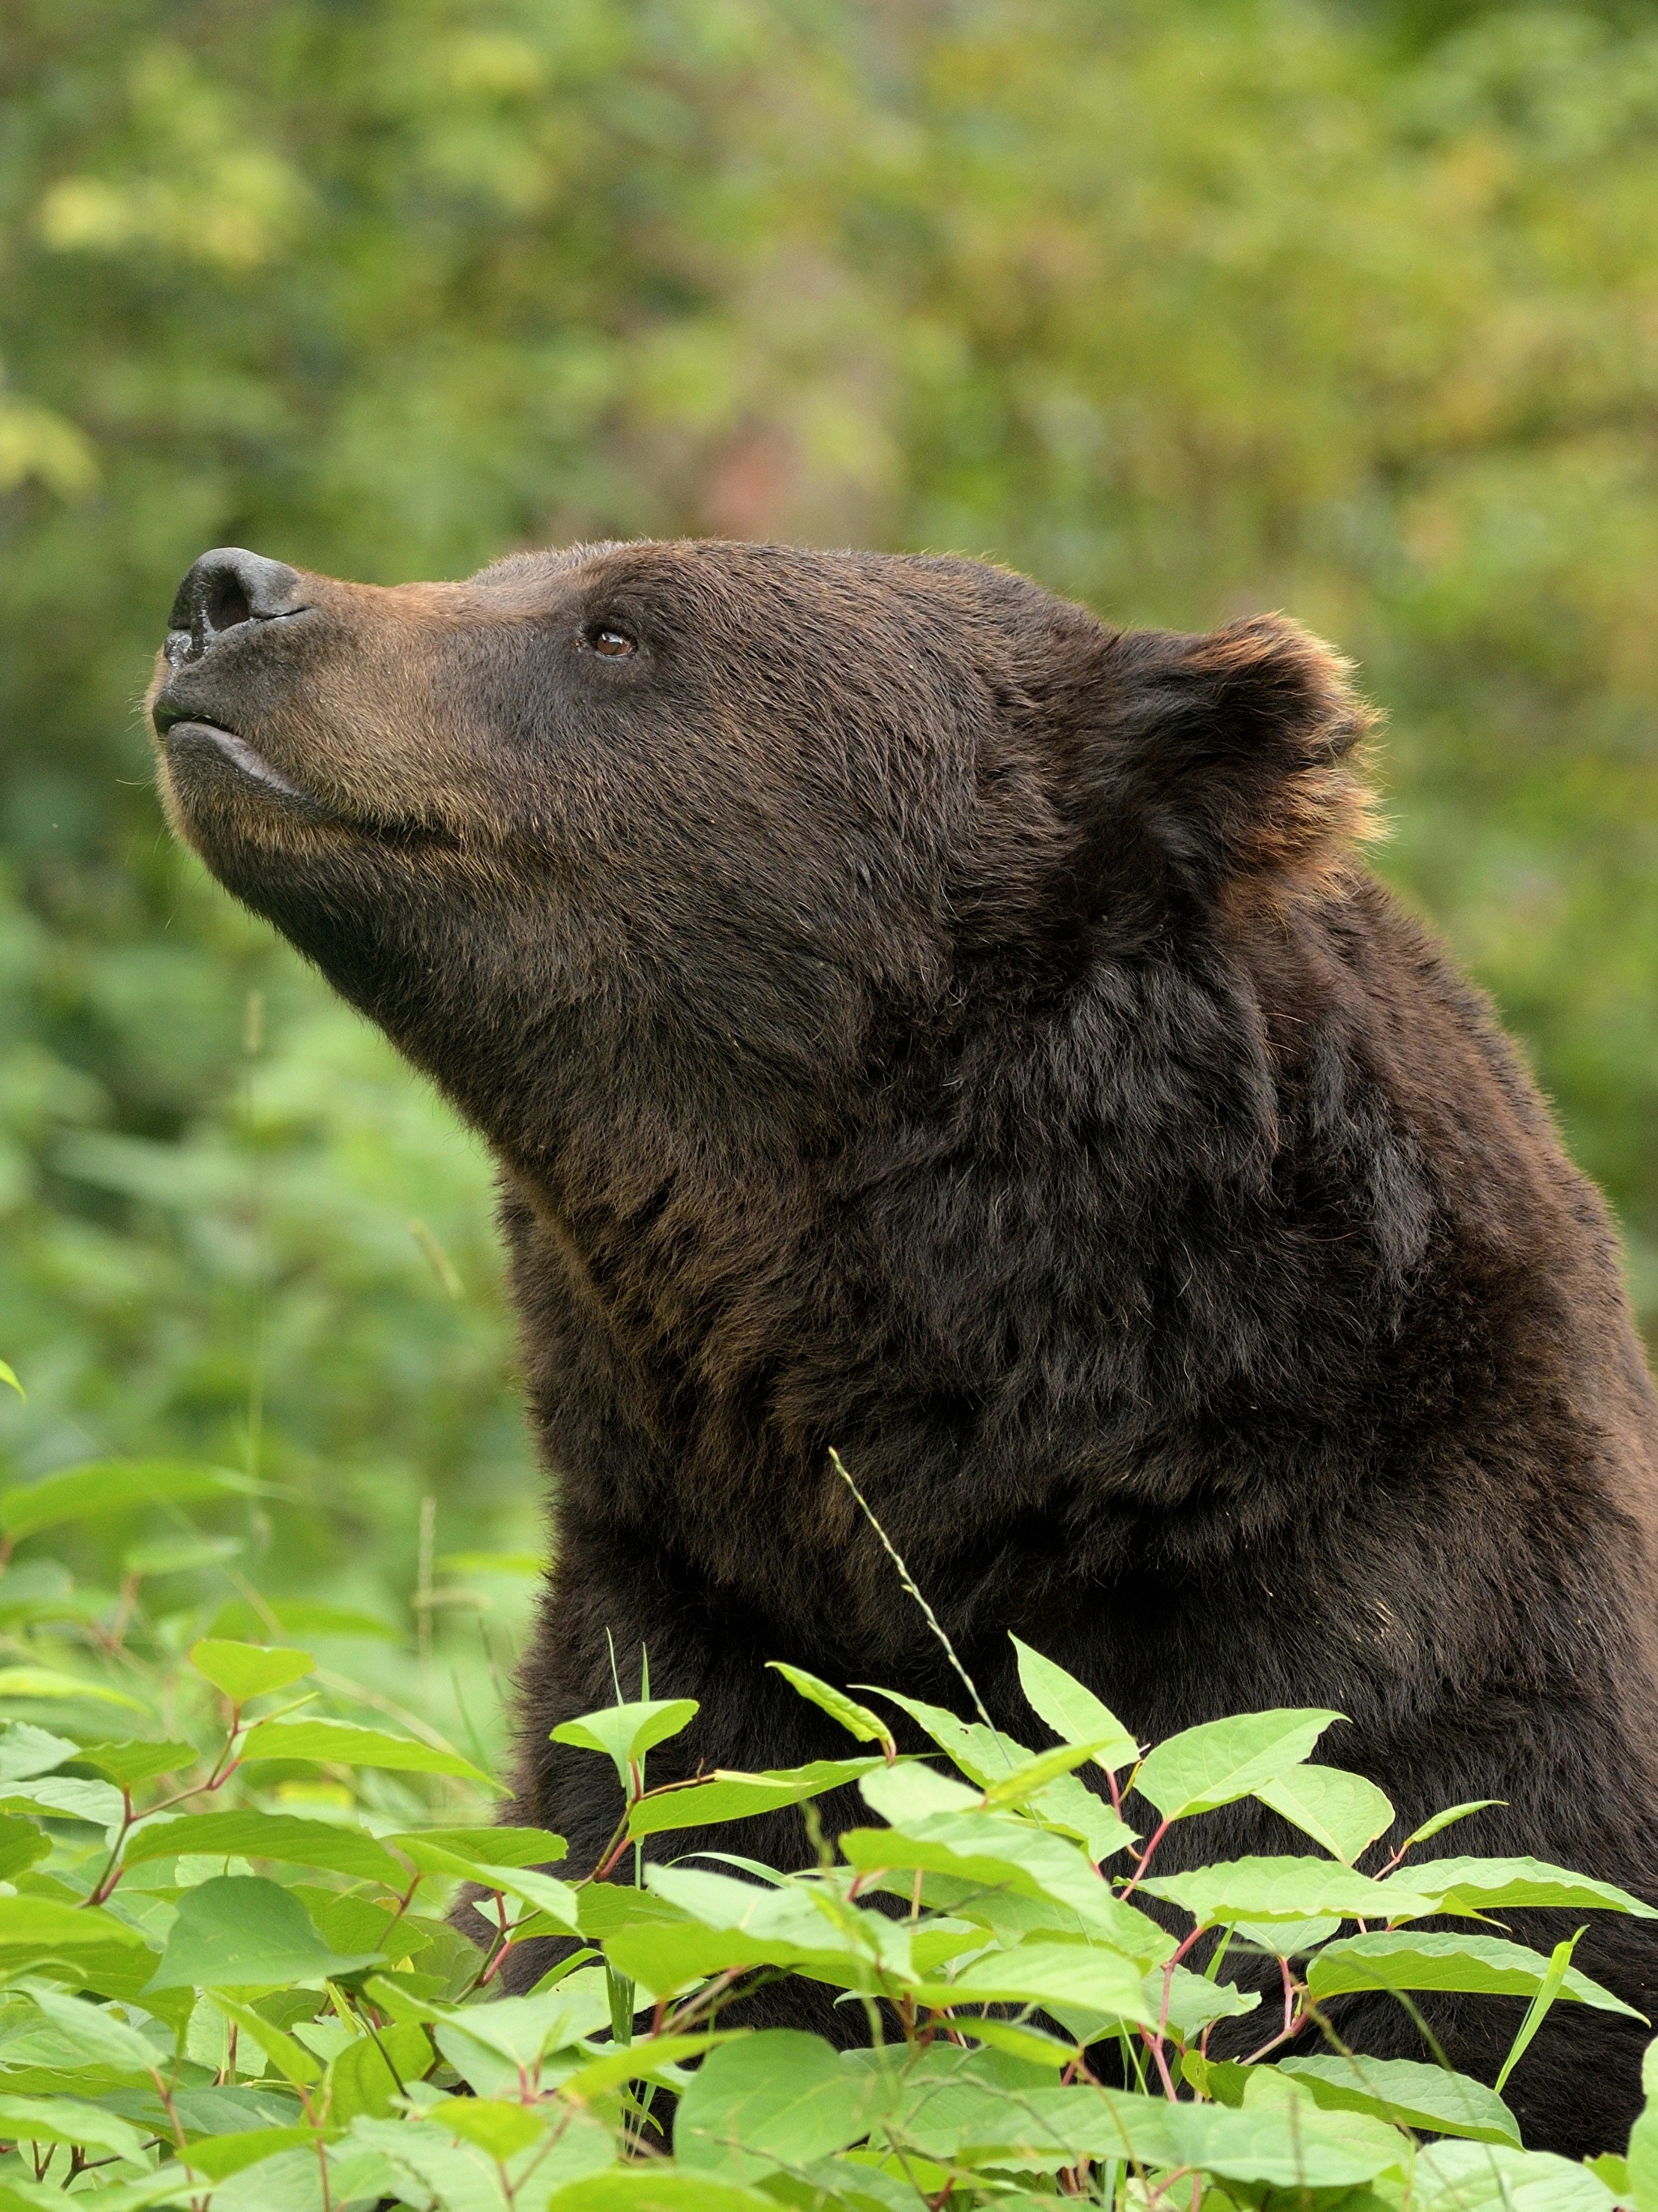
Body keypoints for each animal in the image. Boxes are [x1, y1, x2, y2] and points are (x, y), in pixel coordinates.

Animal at [149, 535, 1658, 2159]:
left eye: (617, 629)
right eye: (511, 573)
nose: (228, 591)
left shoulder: (1386, 1649)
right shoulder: (698, 1610)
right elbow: (639, 1907)